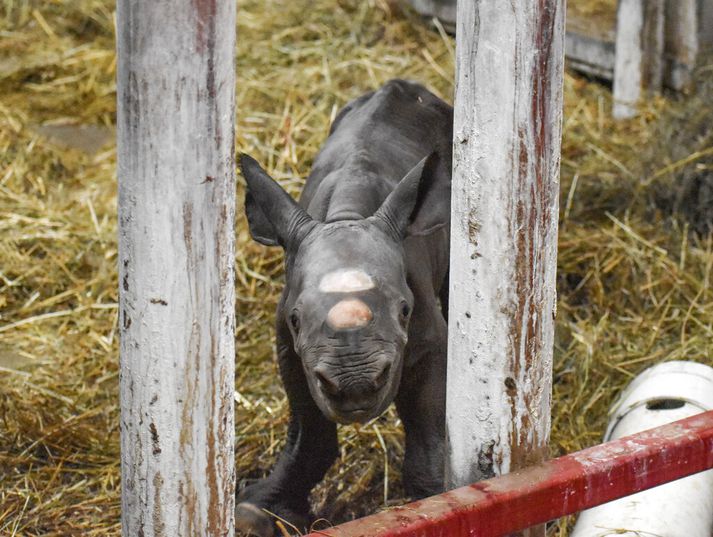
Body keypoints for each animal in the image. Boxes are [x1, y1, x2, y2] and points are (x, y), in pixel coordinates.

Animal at [238, 79, 450, 536]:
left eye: (404, 310)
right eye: (296, 319)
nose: (355, 384)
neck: (347, 215)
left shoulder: (427, 338)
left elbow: (428, 432)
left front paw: (440, 501)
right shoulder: (290, 345)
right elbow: (309, 429)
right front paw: (258, 513)